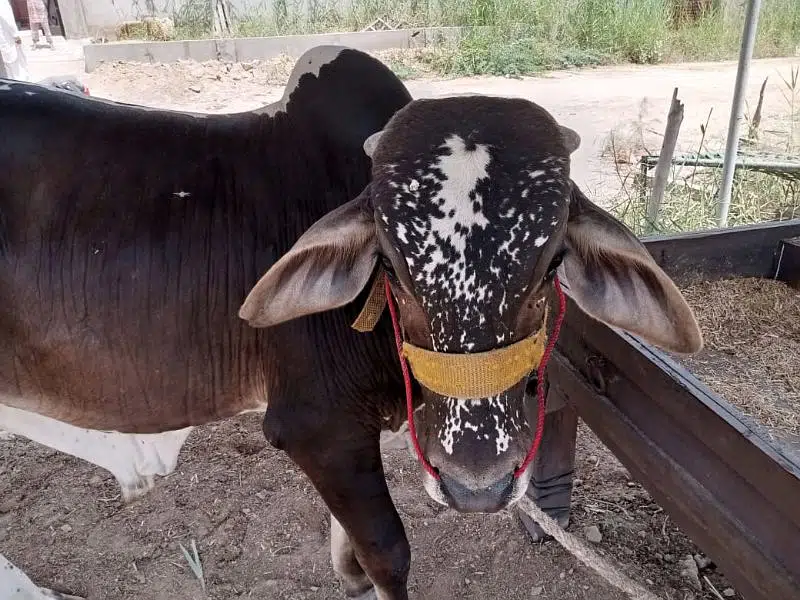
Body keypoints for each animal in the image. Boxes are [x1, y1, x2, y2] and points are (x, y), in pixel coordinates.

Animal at [0, 45, 703, 600]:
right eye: (389, 263)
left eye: (552, 261)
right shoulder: (318, 428)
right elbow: (387, 556)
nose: (477, 484)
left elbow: (352, 560)